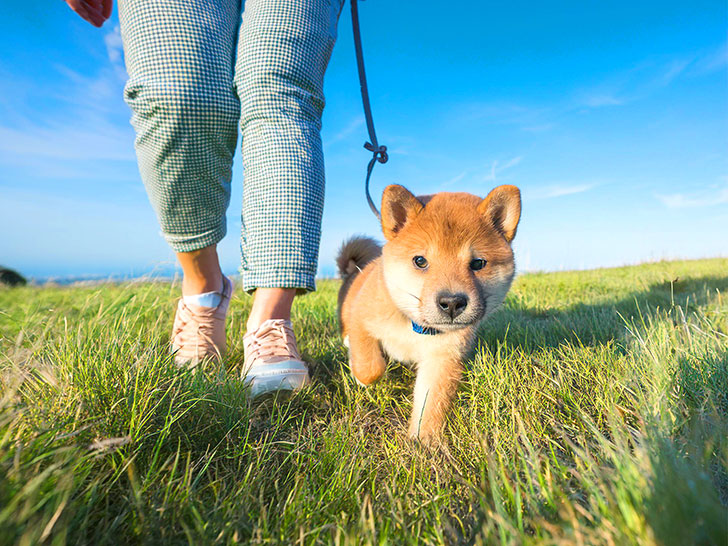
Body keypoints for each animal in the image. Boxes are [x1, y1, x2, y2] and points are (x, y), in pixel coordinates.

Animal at [338, 185, 520, 440]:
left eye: (478, 263)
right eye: (420, 261)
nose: (452, 303)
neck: (415, 325)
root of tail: (354, 270)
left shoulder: (443, 358)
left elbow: (431, 403)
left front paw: (423, 441)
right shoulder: (361, 319)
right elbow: (370, 367)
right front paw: (361, 377)